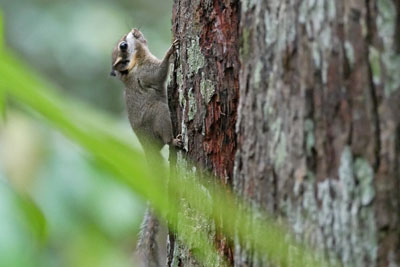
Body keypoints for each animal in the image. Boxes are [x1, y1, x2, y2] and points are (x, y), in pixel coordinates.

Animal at [111, 28, 183, 266]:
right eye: (123, 45)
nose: (135, 30)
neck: (136, 63)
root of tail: (149, 151)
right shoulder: (148, 72)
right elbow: (160, 72)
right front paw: (171, 50)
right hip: (160, 113)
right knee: (167, 139)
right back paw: (175, 141)